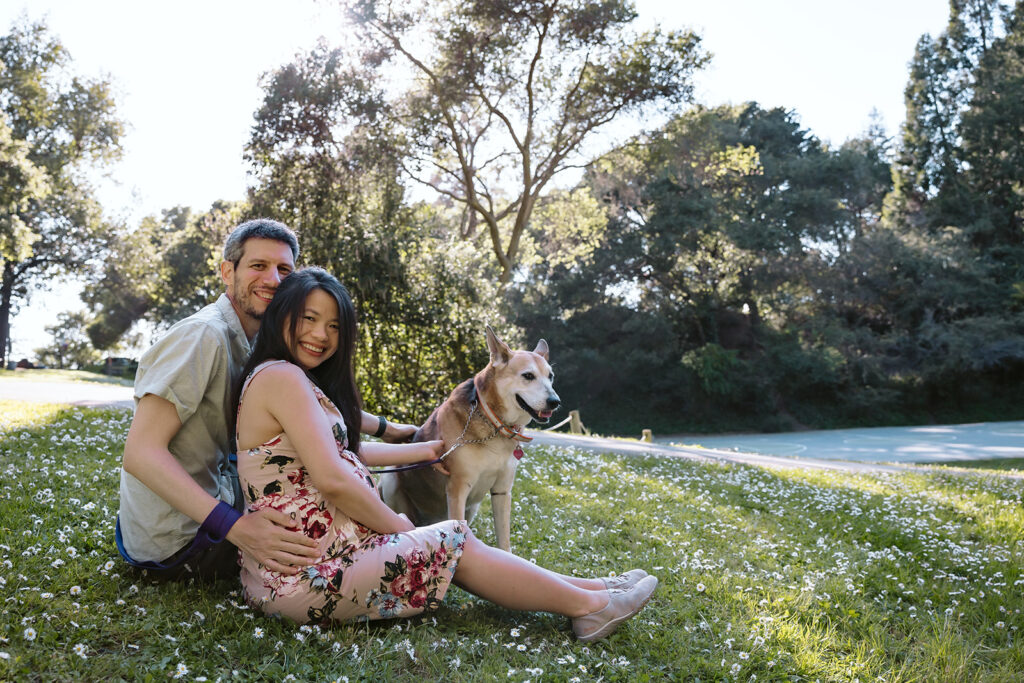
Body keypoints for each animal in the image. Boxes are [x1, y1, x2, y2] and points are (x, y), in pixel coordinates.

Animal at [380, 327, 561, 557]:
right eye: (528, 376)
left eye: (551, 376)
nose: (555, 402)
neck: (494, 426)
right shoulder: (458, 487)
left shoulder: (502, 491)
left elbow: (504, 540)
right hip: (391, 479)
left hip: (473, 506)